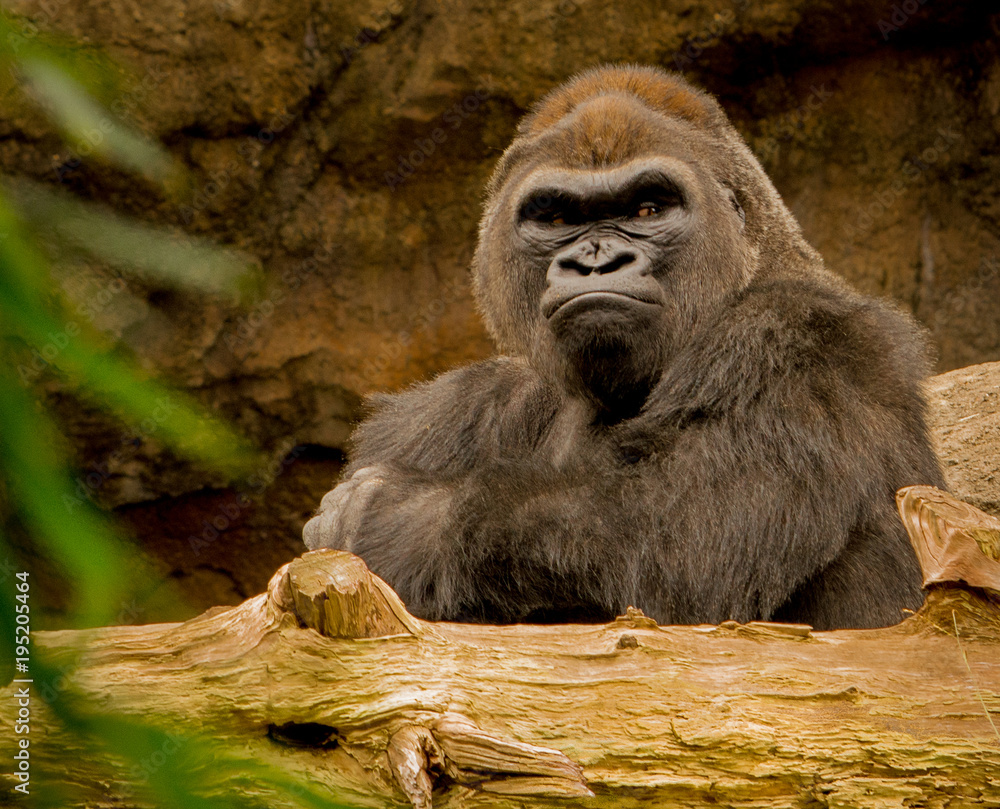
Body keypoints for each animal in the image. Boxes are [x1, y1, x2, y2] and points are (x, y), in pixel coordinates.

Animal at [303, 65, 945, 630]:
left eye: (647, 209)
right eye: (557, 217)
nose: (596, 260)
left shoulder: (796, 338)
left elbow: (675, 543)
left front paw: (394, 519)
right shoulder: (448, 409)